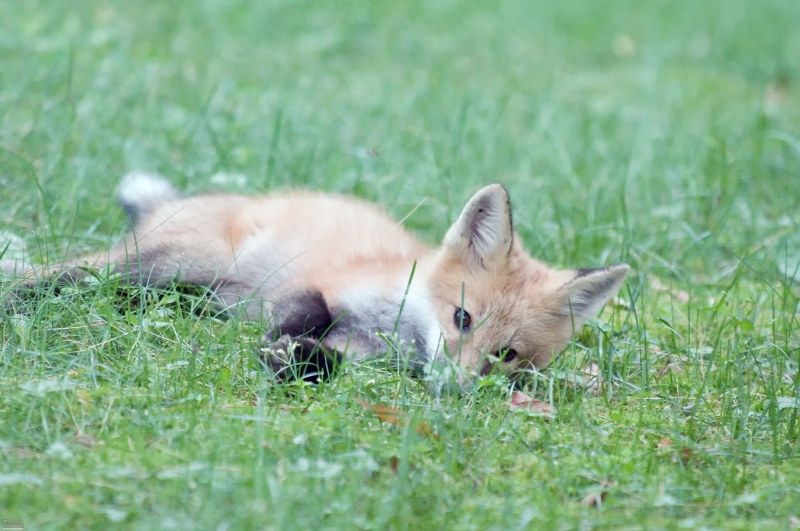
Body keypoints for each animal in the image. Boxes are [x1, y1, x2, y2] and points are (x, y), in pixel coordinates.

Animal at [2, 173, 629, 386]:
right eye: (462, 318)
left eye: (508, 355)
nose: (455, 386)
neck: (389, 329)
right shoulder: (317, 283)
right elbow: (309, 308)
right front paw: (279, 343)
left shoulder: (364, 354)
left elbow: (326, 360)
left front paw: (292, 358)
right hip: (174, 265)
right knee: (67, 276)